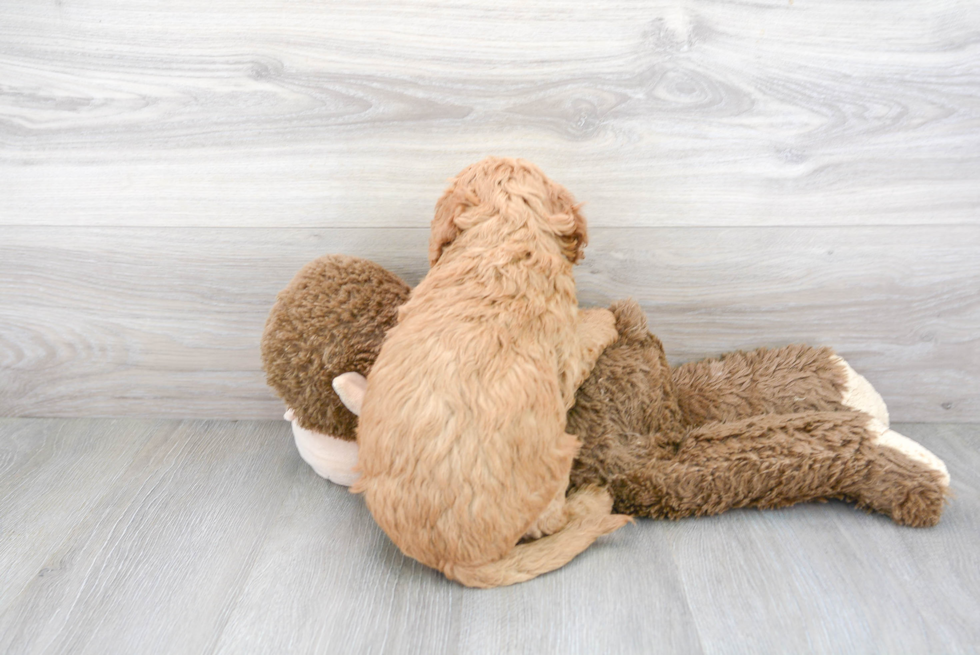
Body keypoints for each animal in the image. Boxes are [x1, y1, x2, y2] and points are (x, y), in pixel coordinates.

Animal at [352, 156, 628, 588]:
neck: (505, 235)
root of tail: (454, 561)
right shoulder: (566, 354)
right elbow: (587, 338)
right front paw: (604, 319)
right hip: (557, 460)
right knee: (552, 522)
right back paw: (591, 502)